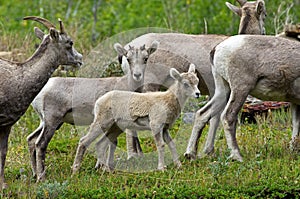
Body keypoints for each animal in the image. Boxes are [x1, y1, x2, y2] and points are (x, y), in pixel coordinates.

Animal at [0, 16, 82, 188]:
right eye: (70, 42)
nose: (80, 59)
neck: (17, 79)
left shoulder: (6, 126)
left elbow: (3, 153)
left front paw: (3, 186)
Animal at [29, 40, 158, 182]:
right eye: (128, 59)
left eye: (145, 58)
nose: (137, 75)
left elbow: (112, 142)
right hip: (52, 122)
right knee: (40, 144)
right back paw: (42, 177)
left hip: (47, 123)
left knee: (31, 140)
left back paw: (34, 174)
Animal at [71, 63, 200, 173]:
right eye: (186, 84)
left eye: (197, 81)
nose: (198, 94)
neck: (168, 100)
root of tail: (99, 101)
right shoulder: (156, 126)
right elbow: (161, 145)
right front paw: (162, 168)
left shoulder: (165, 129)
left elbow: (171, 145)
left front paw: (179, 166)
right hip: (102, 122)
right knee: (84, 141)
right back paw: (75, 170)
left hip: (116, 127)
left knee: (101, 144)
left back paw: (106, 170)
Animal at [124, 0, 268, 159]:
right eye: (265, 15)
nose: (264, 32)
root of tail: (126, 53)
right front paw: (208, 150)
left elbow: (214, 117)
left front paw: (207, 150)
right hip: (149, 84)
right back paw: (133, 156)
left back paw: (138, 154)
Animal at [186, 34, 300, 162]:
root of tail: (216, 49)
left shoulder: (295, 102)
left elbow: (296, 124)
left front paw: (293, 150)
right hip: (240, 89)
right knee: (227, 117)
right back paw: (238, 157)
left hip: (223, 90)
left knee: (202, 114)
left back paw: (191, 154)